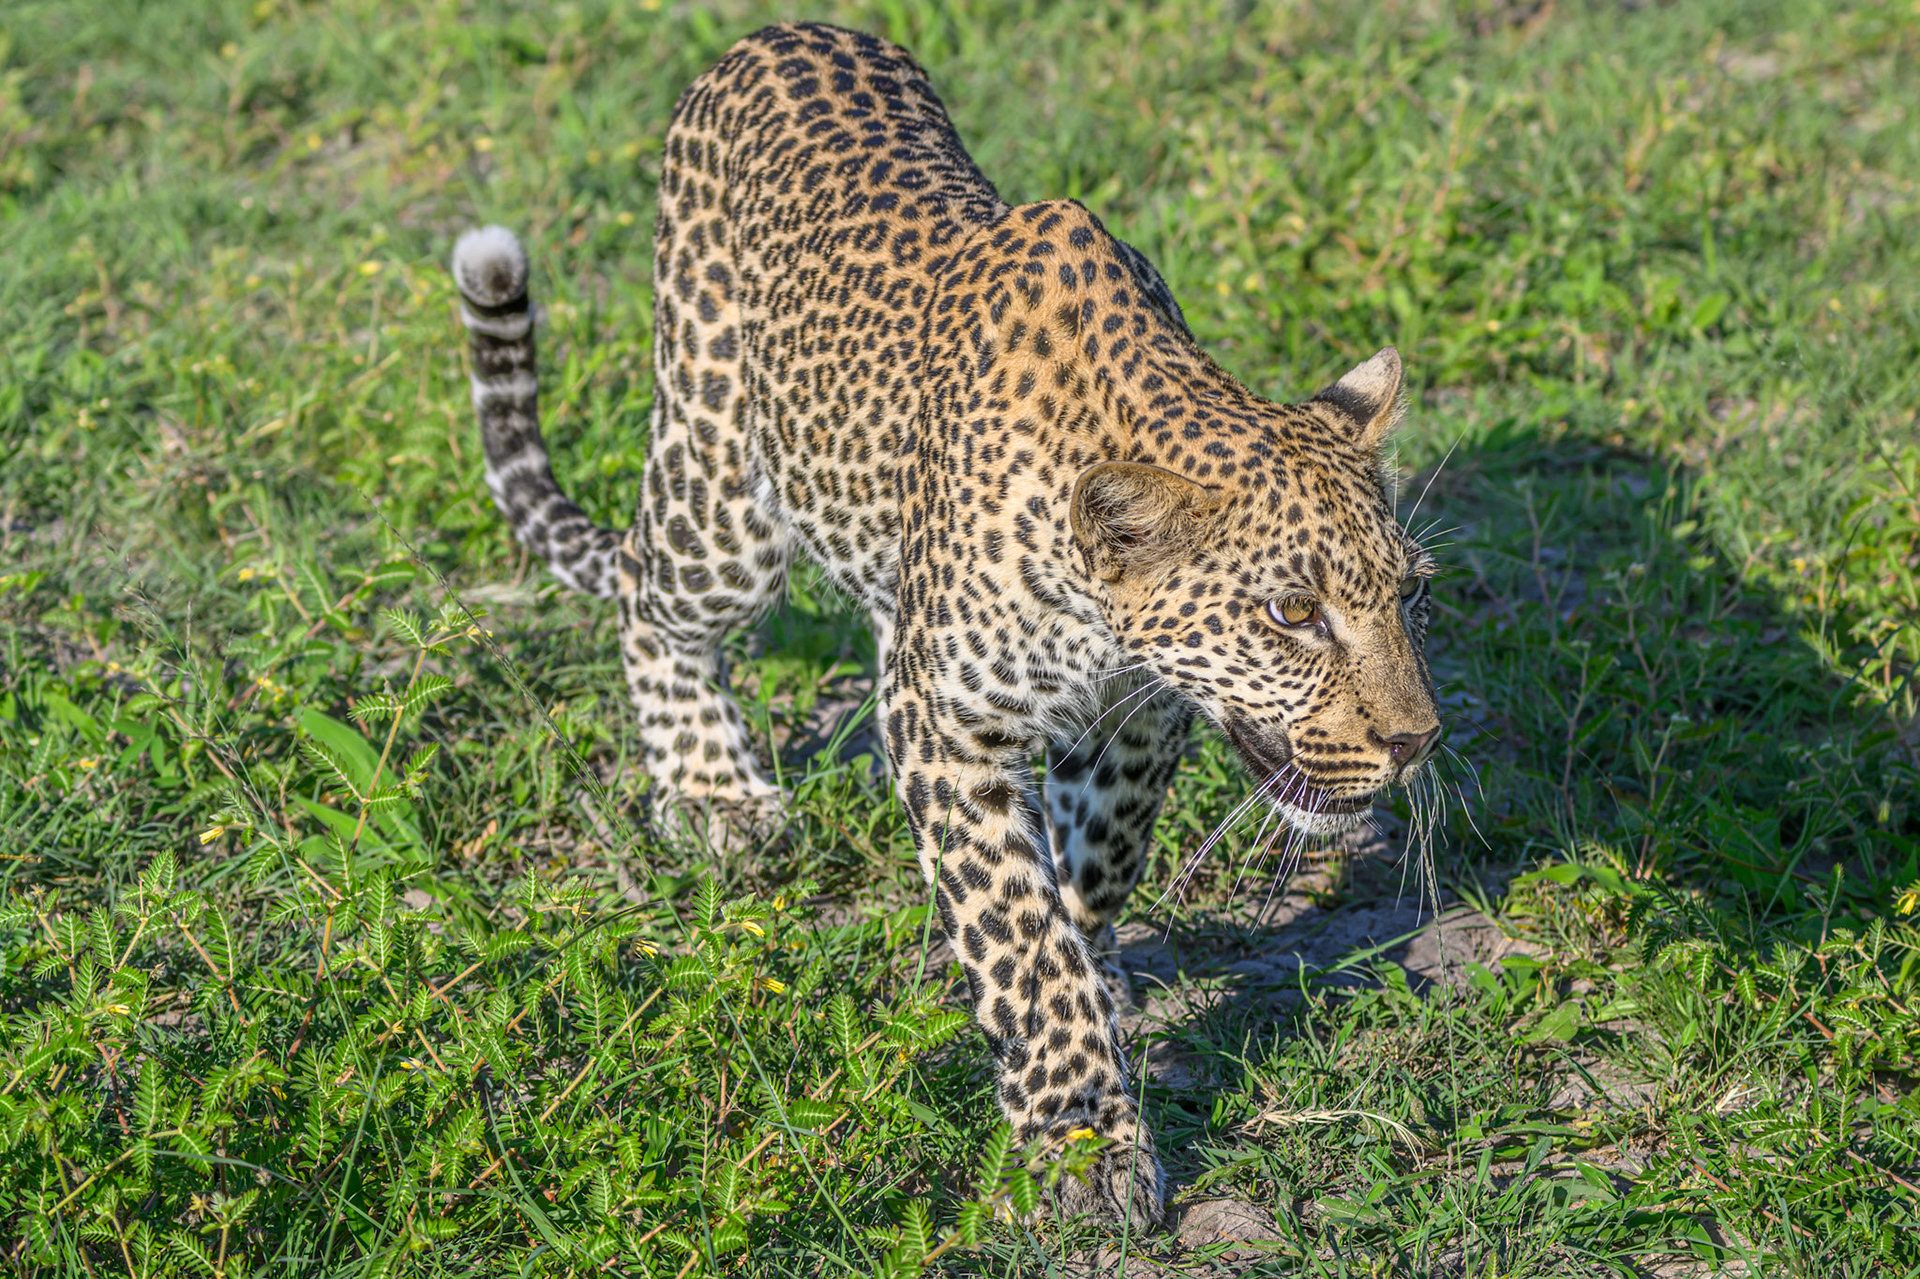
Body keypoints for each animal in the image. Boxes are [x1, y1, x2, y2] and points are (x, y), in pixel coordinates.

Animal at [451, 21, 1440, 1230]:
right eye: (1293, 613)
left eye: (1408, 594)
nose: (1418, 740)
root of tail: (777, 31)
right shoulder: (948, 725)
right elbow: (1021, 931)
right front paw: (1081, 1136)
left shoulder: (1134, 719)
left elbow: (1096, 862)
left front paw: (1099, 980)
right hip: (723, 496)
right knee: (649, 592)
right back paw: (714, 792)